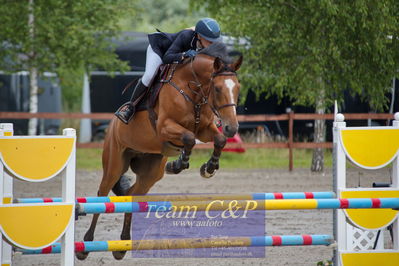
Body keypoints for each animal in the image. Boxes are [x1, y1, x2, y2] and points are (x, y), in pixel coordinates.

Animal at [76, 42, 242, 260]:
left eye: (238, 88)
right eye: (217, 88)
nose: (232, 127)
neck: (193, 90)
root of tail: (112, 124)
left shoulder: (205, 129)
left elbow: (218, 139)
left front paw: (209, 168)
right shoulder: (165, 127)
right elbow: (189, 138)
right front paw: (178, 164)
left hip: (150, 173)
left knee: (132, 195)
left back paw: (122, 245)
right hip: (114, 164)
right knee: (102, 195)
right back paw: (86, 245)